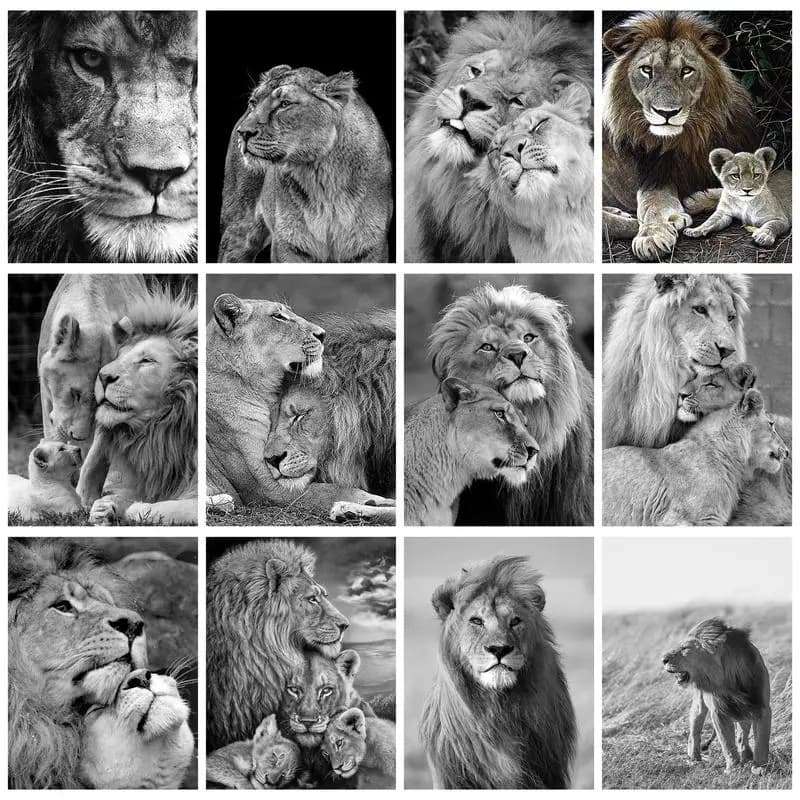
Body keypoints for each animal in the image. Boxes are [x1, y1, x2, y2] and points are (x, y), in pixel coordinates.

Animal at [77, 283, 198, 526]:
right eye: (119, 355)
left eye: (147, 360)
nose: (103, 376)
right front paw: (104, 508)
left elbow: (171, 508)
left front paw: (133, 508)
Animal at [218, 65, 392, 263]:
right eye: (253, 102)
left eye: (285, 104)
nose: (243, 133)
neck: (322, 173)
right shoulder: (290, 244)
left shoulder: (371, 245)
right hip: (238, 229)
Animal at [601, 11, 758, 261]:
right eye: (647, 70)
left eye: (686, 71)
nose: (666, 113)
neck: (689, 138)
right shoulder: (655, 176)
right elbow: (653, 205)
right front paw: (652, 236)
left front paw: (695, 202)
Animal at [662, 618, 771, 774]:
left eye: (685, 648)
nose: (663, 659)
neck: (729, 679)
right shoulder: (718, 712)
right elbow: (727, 743)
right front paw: (733, 769)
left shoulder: (761, 707)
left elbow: (762, 740)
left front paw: (760, 767)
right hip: (699, 704)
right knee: (694, 732)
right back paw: (694, 759)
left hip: (744, 711)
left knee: (742, 733)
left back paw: (747, 755)